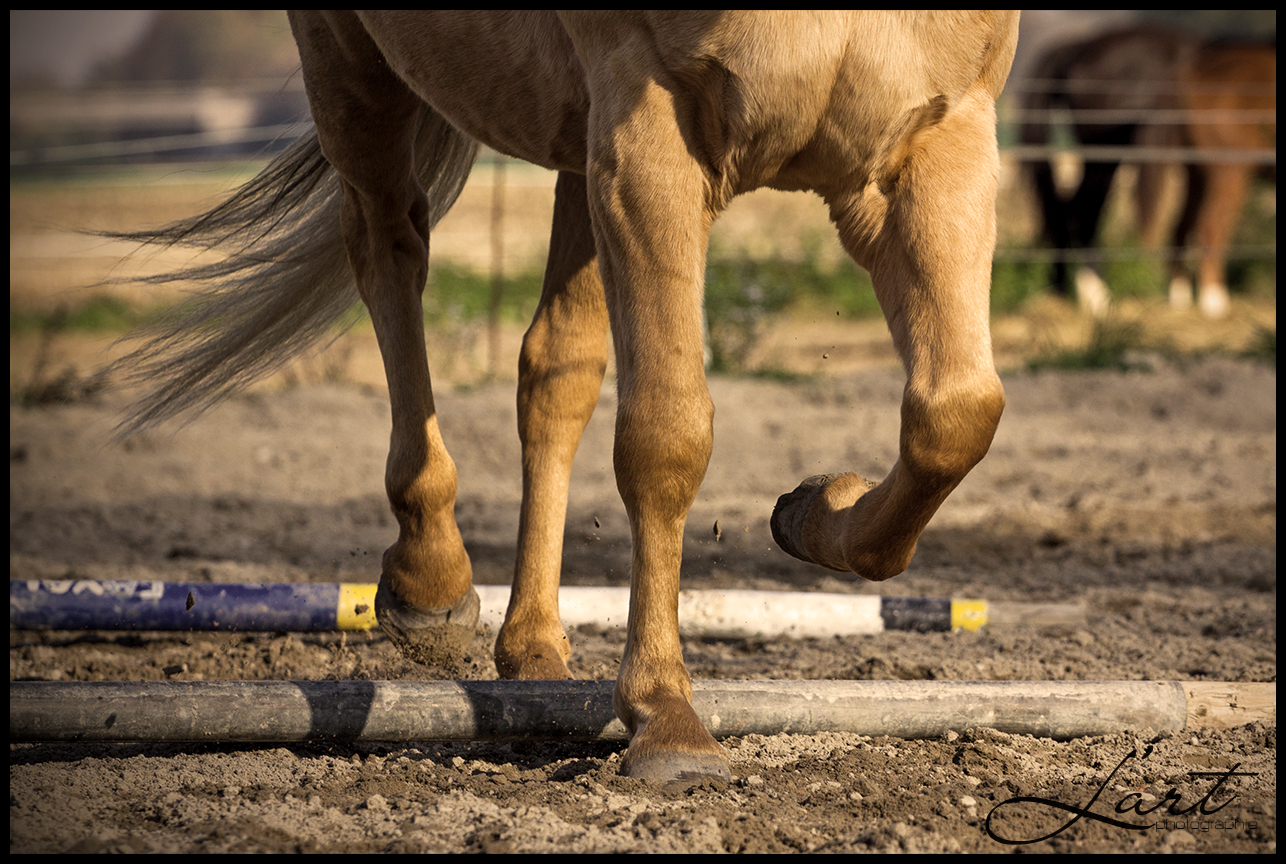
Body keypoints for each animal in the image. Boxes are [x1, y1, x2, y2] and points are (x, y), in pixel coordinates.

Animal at [100, 11, 1018, 781]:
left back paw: (534, 649)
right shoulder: (651, 136)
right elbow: (666, 436)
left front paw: (813, 508)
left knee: (554, 372)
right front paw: (667, 720)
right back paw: (430, 581)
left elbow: (956, 414)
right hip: (354, 66)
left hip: (582, 156)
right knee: (390, 247)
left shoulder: (935, 144)